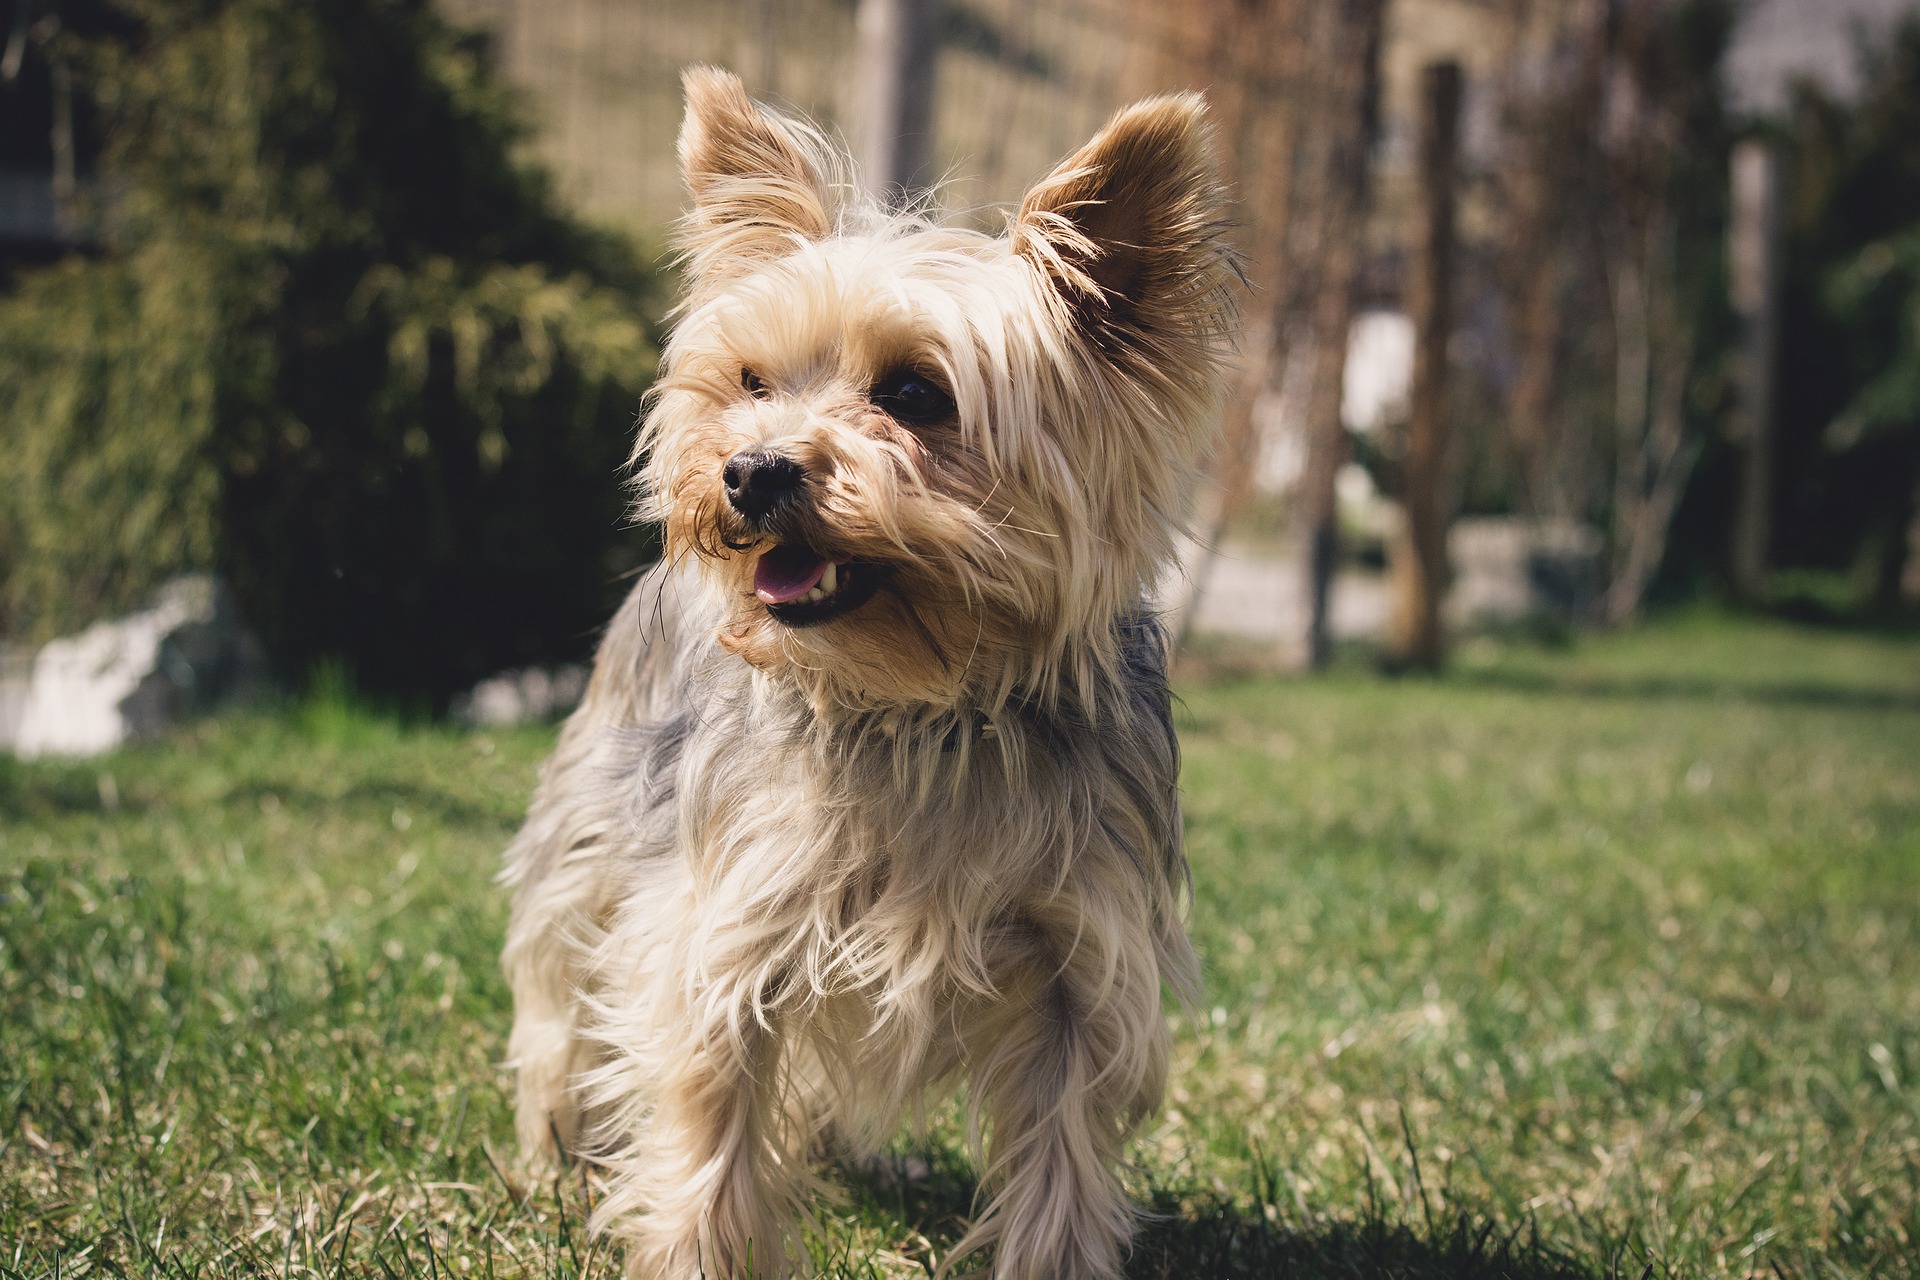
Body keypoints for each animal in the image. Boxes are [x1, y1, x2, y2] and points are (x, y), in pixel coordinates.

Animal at [503, 70, 1236, 1280]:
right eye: (751, 381)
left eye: (917, 394)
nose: (748, 470)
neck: (922, 704)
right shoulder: (726, 926)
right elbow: (708, 1123)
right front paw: (697, 1249)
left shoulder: (1082, 964)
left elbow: (1061, 1163)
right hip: (591, 827)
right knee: (560, 985)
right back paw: (553, 1148)